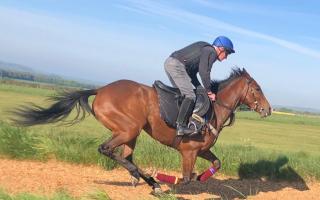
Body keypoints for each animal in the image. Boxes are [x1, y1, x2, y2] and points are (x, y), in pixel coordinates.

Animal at [13, 68, 272, 193]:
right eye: (258, 89)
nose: (268, 109)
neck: (214, 109)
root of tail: (101, 89)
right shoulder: (188, 152)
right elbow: (186, 179)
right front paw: (174, 181)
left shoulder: (201, 150)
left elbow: (216, 164)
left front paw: (201, 177)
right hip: (128, 130)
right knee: (106, 149)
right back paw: (149, 179)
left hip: (131, 134)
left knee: (126, 156)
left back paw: (149, 180)